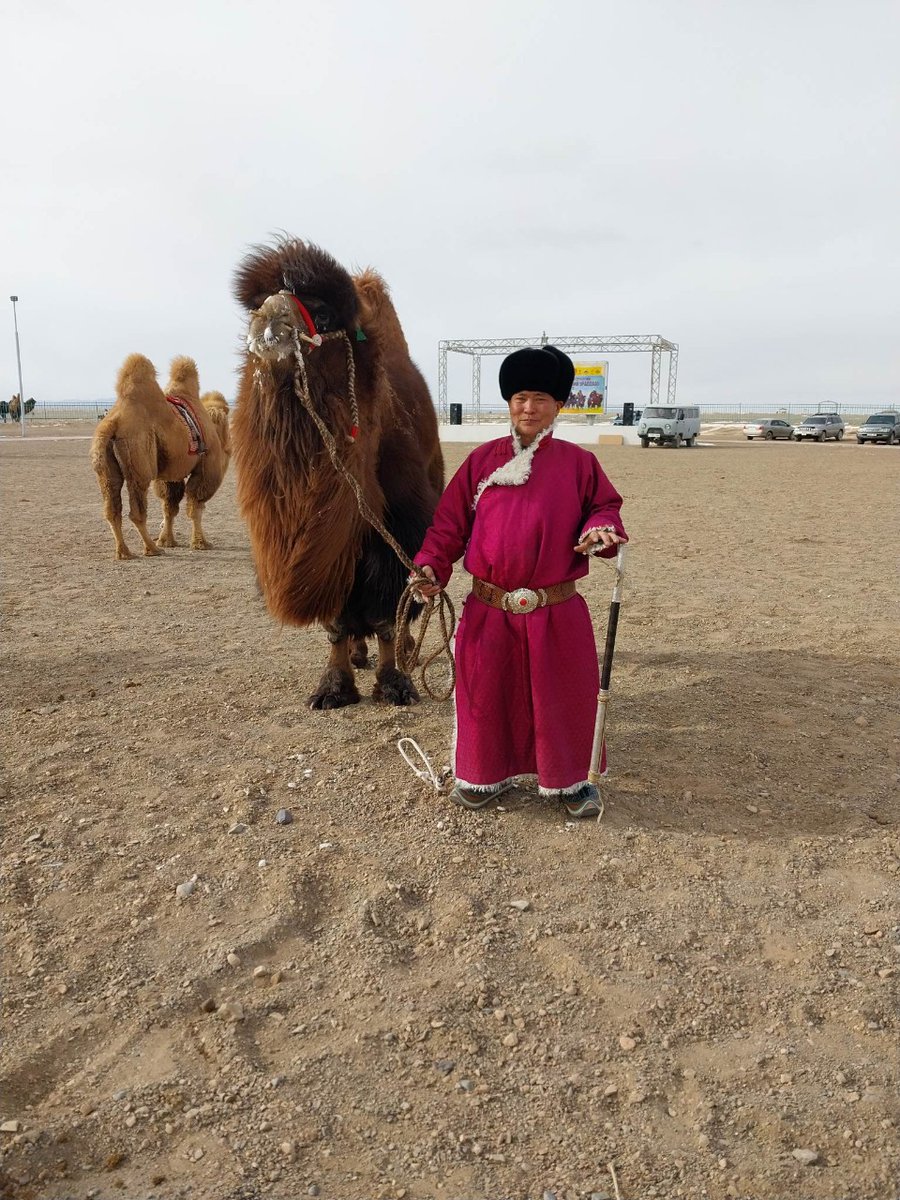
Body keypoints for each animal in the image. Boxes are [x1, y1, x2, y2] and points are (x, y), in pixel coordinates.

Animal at [91, 355, 230, 561]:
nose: (229, 445)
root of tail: (113, 422)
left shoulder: (170, 474)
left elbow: (169, 506)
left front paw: (167, 540)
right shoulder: (205, 468)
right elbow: (195, 506)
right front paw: (201, 543)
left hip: (106, 468)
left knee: (112, 509)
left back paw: (124, 552)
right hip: (140, 460)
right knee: (137, 509)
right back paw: (151, 549)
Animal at [232, 237, 444, 705]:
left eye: (323, 313)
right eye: (257, 301)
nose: (271, 316)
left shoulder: (396, 530)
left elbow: (386, 612)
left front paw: (394, 684)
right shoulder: (327, 549)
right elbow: (336, 624)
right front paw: (333, 687)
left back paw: (405, 651)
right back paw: (360, 655)